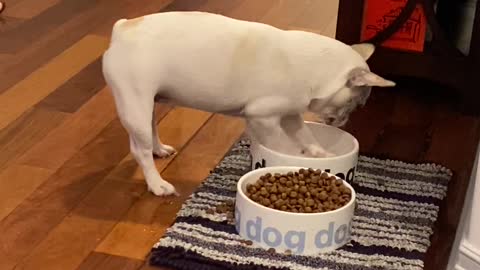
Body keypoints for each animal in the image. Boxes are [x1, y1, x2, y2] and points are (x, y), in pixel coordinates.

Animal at [100, 11, 394, 196]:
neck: (315, 67)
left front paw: (319, 153)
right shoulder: (264, 118)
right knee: (139, 150)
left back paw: (160, 149)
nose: (345, 119)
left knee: (151, 128)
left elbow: (306, 135)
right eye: (357, 104)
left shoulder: (291, 115)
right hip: (135, 102)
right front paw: (290, 157)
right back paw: (157, 184)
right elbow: (279, 143)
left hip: (149, 101)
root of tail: (121, 29)